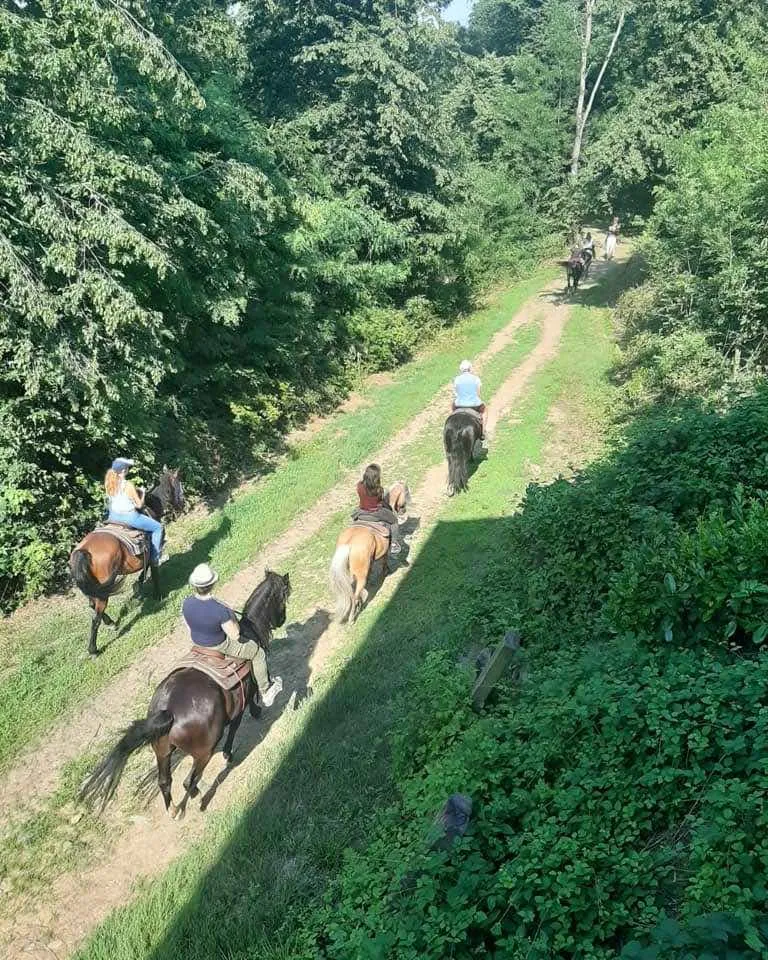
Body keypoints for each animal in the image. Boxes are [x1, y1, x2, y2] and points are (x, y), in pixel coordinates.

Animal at [69, 466, 185, 657]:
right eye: (178, 483)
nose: (182, 503)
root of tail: (82, 551)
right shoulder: (153, 549)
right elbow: (152, 569)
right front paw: (157, 594)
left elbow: (144, 571)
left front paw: (138, 588)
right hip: (102, 592)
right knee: (95, 617)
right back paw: (93, 649)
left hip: (93, 588)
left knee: (93, 606)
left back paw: (112, 623)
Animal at [79, 570, 291, 819]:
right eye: (284, 595)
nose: (282, 619)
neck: (250, 630)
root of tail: (169, 710)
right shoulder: (245, 695)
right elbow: (239, 721)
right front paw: (234, 745)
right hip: (203, 752)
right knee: (188, 781)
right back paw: (197, 797)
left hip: (162, 751)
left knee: (165, 781)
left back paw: (172, 809)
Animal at [329, 481, 410, 624]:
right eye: (405, 493)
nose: (403, 510)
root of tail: (349, 544)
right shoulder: (385, 550)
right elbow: (384, 561)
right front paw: (385, 571)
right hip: (360, 576)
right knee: (355, 595)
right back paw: (352, 617)